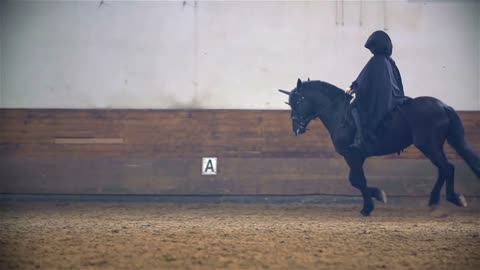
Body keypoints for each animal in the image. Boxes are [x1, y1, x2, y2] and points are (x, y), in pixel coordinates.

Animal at [280, 79, 480, 216]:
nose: (296, 128)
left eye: (299, 101)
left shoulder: (352, 155)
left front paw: (368, 206)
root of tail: (443, 105)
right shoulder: (357, 157)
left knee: (447, 168)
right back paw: (435, 200)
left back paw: (451, 198)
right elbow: (356, 180)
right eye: (289, 103)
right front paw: (376, 196)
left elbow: (357, 180)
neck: (340, 115)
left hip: (429, 146)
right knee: (445, 169)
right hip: (436, 145)